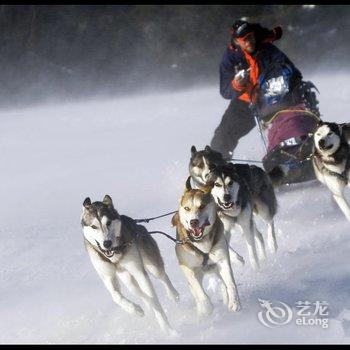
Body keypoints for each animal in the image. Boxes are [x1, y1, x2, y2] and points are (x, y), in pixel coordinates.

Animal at [81, 194, 178, 334]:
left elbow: (155, 301)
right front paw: (134, 309)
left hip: (152, 266)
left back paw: (173, 294)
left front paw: (167, 328)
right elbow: (116, 296)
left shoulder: (139, 272)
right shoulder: (108, 277)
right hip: (127, 280)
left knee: (162, 276)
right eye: (94, 226)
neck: (115, 255)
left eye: (108, 223)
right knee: (138, 292)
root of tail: (136, 222)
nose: (107, 243)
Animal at [172, 187, 241, 316]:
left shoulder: (222, 260)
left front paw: (235, 302)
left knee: (223, 283)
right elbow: (199, 292)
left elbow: (231, 283)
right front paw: (207, 307)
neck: (201, 243)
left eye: (202, 206)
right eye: (187, 208)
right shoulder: (188, 269)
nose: (193, 222)